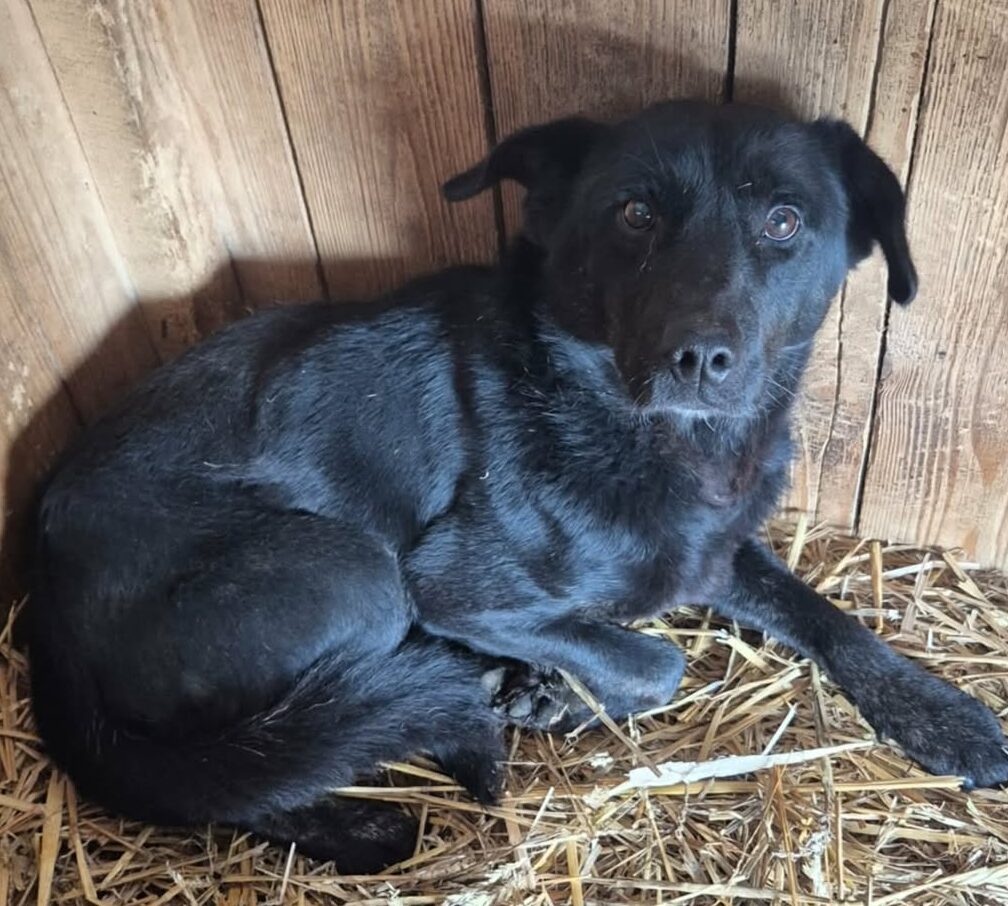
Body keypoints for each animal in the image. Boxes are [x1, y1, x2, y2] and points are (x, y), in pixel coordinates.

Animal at [28, 99, 1008, 873]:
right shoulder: (450, 585)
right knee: (246, 779)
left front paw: (944, 713)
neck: (644, 432)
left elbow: (829, 620)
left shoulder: (714, 551)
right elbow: (657, 660)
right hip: (356, 572)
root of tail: (44, 612)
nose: (696, 358)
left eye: (783, 221)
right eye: (635, 213)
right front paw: (561, 689)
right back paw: (390, 790)